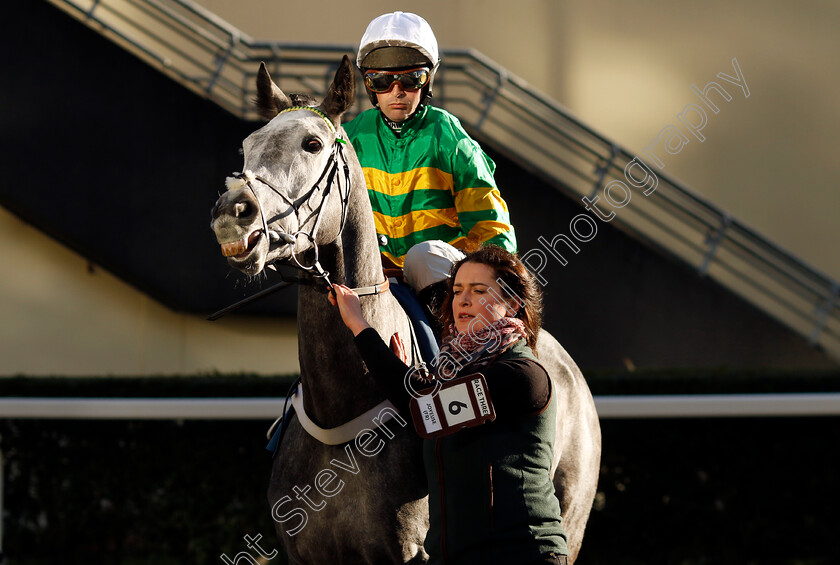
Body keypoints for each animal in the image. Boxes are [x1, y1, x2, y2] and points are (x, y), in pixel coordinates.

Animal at [213, 54, 600, 564]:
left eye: (312, 143)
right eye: (247, 146)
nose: (232, 213)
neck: (342, 410)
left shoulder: (412, 551)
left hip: (571, 520)